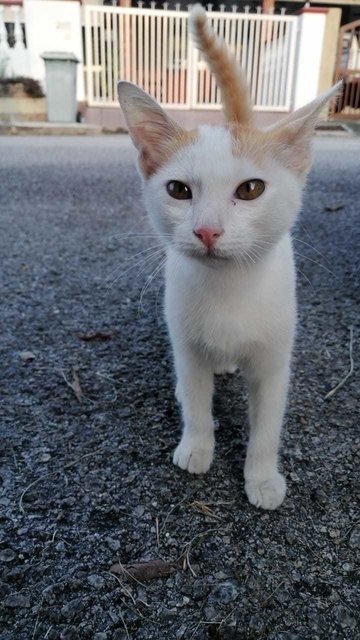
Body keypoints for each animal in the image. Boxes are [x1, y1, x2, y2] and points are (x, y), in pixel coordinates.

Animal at [117, 2, 340, 508]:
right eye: (179, 191)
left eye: (251, 189)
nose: (206, 230)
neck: (228, 287)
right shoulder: (185, 341)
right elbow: (198, 399)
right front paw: (197, 446)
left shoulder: (276, 359)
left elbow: (268, 424)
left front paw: (261, 477)